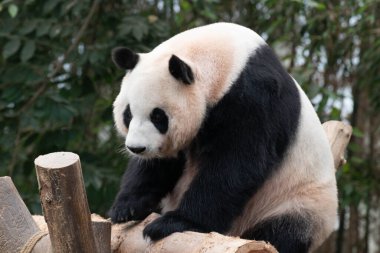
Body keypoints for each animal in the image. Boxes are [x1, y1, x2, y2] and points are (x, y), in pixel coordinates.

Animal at [108, 22, 336, 252]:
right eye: (128, 114)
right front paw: (126, 208)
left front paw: (173, 223)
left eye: (157, 116)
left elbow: (236, 164)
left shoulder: (254, 97)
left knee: (280, 232)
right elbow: (159, 165)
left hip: (296, 202)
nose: (136, 148)